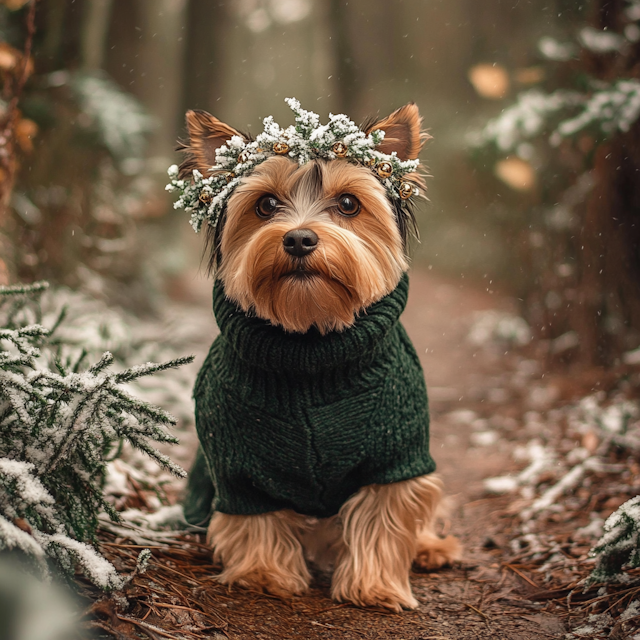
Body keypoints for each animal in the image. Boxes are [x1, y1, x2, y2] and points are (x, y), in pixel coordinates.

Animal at [170, 99, 460, 608]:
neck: (310, 347)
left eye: (348, 204)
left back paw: (431, 549)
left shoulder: (395, 455)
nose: (299, 238)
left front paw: (373, 587)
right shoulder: (236, 464)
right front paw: (264, 574)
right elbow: (255, 518)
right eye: (266, 205)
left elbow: (384, 518)